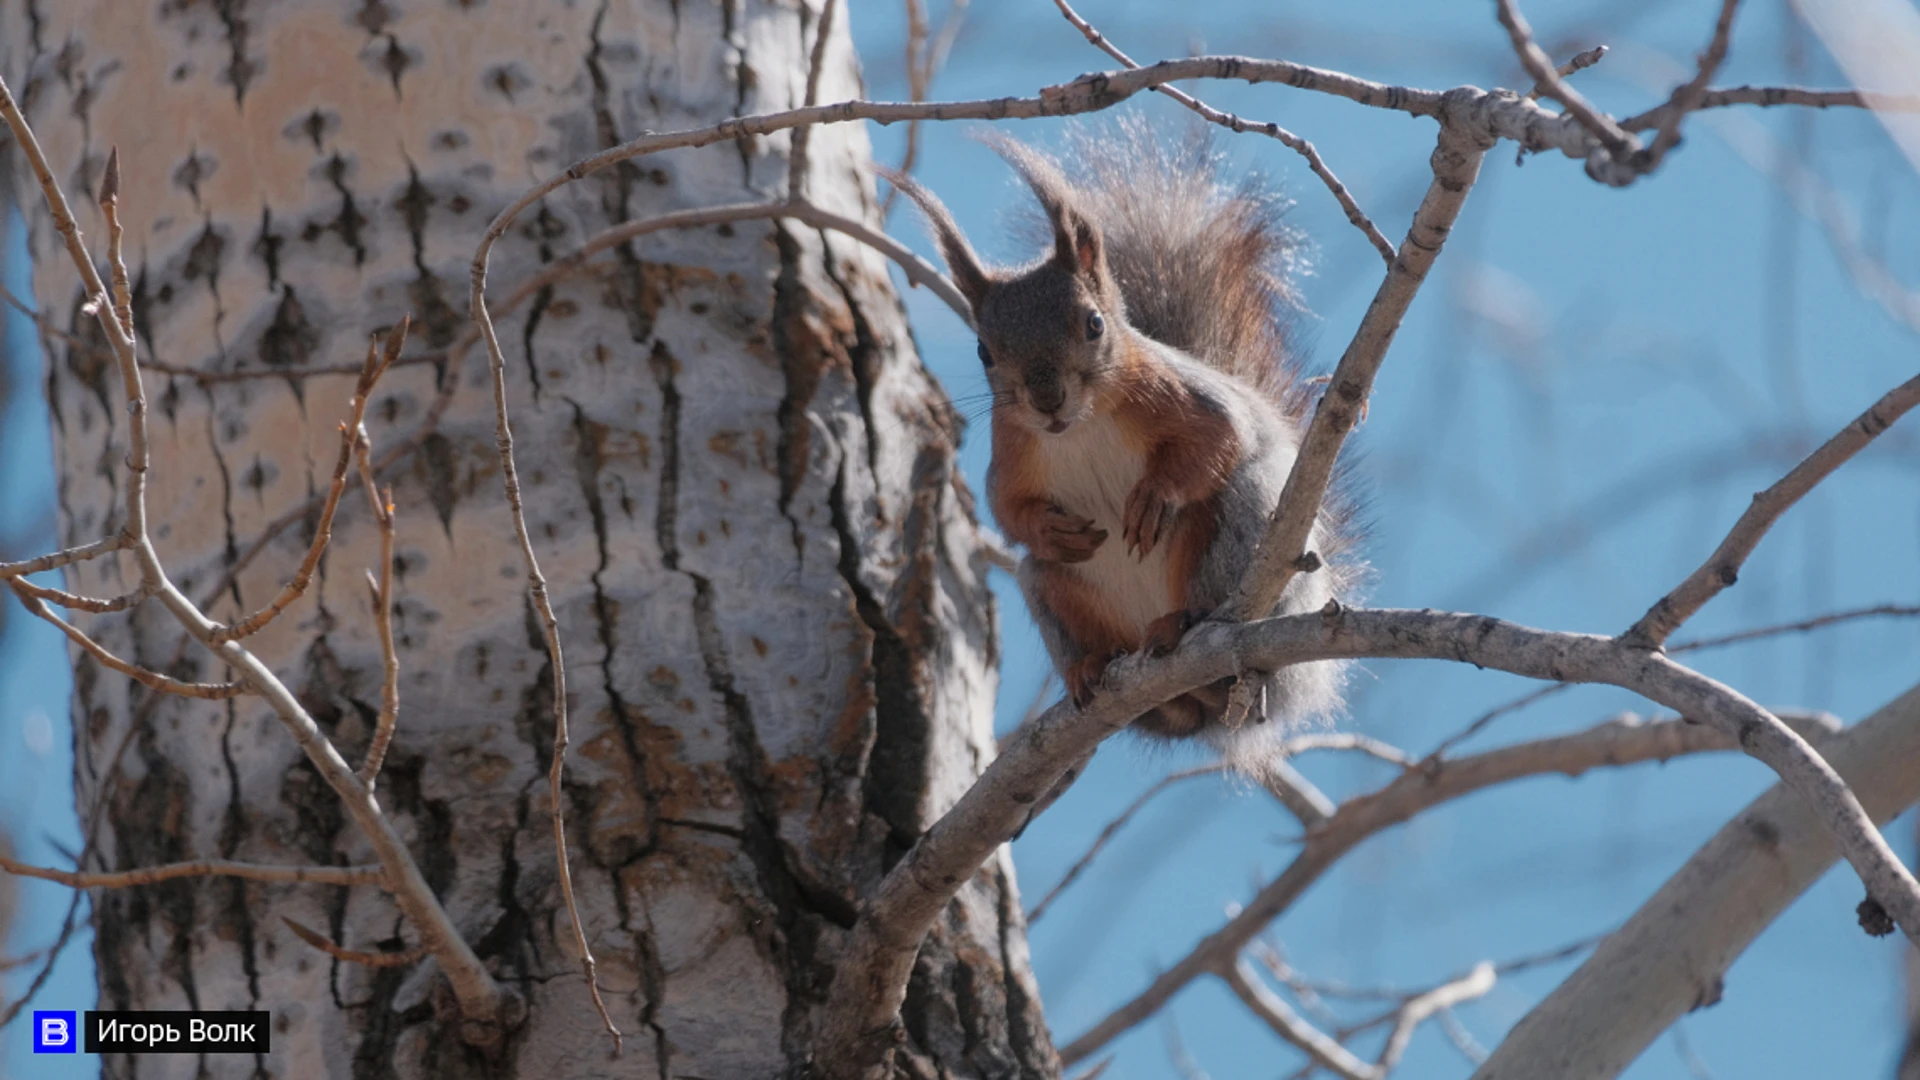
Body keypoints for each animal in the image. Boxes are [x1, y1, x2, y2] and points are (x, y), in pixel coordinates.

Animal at [887, 119, 1359, 757]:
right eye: (985, 351)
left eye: (1093, 324)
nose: (1047, 400)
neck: (1078, 427)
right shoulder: (1011, 453)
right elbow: (1007, 510)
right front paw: (1048, 528)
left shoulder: (1182, 396)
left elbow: (1220, 438)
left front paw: (1155, 495)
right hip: (1048, 587)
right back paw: (1104, 671)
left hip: (1241, 530)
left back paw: (1186, 625)